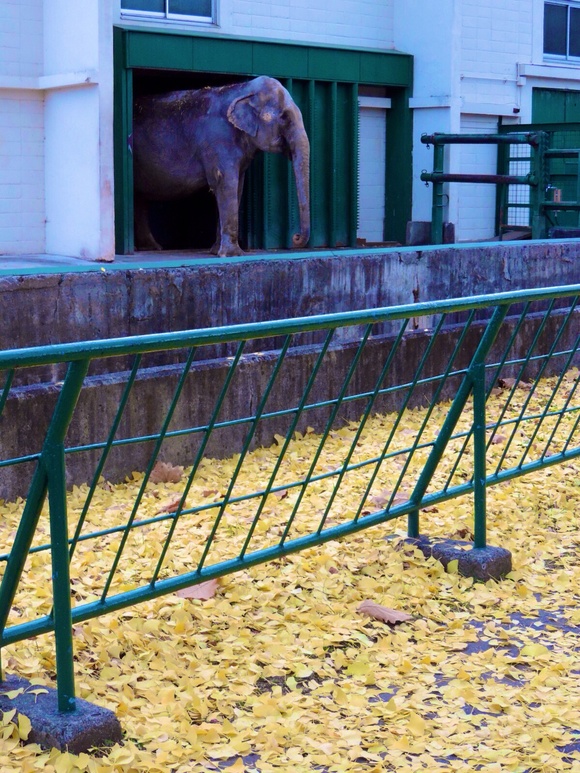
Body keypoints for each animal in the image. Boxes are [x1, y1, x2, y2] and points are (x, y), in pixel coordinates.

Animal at [133, 76, 310, 256]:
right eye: (284, 117)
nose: (295, 237)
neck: (243, 89)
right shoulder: (218, 140)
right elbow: (226, 184)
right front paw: (233, 254)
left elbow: (237, 186)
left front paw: (215, 251)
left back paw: (152, 247)